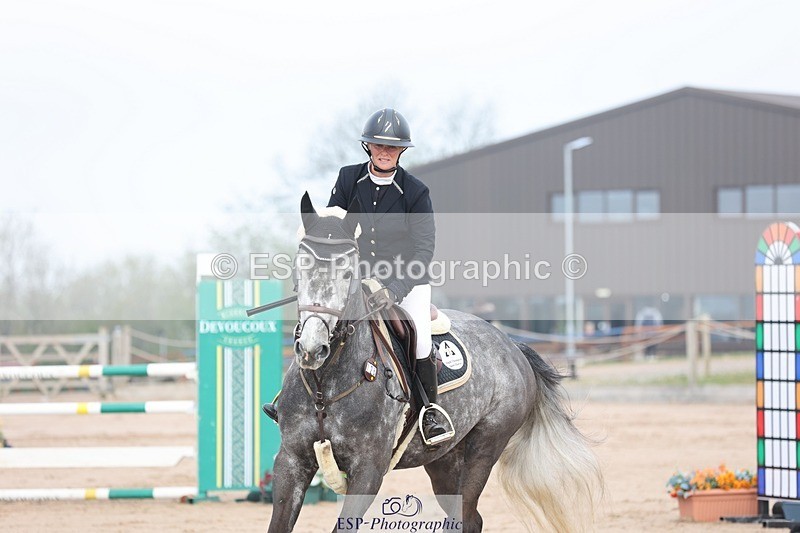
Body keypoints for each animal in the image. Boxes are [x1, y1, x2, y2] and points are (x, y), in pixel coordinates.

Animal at [267, 193, 603, 533]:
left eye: (348, 274)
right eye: (298, 269)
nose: (312, 348)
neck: (327, 384)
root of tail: (513, 346)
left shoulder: (368, 470)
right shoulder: (291, 461)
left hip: (485, 447)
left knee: (465, 513)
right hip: (444, 459)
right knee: (467, 517)